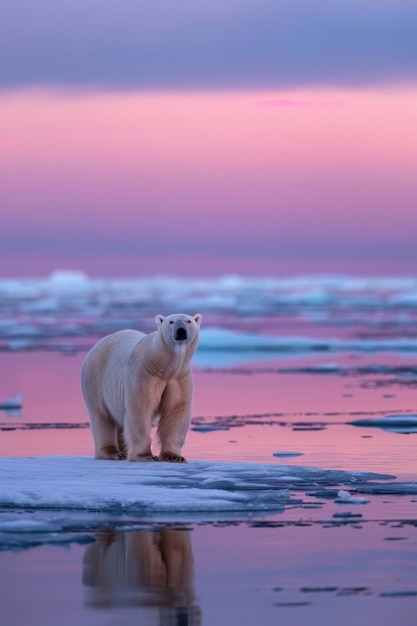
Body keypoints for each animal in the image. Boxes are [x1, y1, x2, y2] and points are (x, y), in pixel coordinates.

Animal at [81, 314, 202, 460]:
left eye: (188, 321)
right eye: (171, 322)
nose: (181, 331)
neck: (163, 365)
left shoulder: (178, 377)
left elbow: (176, 409)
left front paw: (174, 456)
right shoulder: (144, 373)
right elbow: (140, 408)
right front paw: (145, 456)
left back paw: (123, 451)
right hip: (95, 380)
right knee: (102, 417)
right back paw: (113, 452)